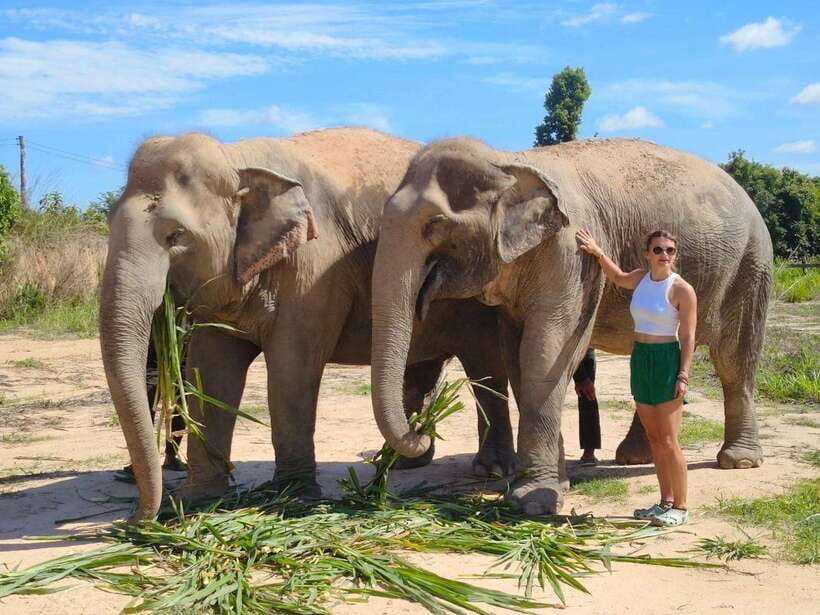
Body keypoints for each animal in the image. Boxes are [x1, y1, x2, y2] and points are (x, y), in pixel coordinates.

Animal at [100, 128, 514, 522]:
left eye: (176, 236)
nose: (136, 519)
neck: (238, 157)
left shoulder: (316, 269)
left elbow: (292, 367)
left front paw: (291, 499)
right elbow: (211, 369)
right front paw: (196, 500)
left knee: (484, 368)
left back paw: (489, 470)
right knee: (420, 373)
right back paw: (403, 461)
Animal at [369, 136, 773, 515]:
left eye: (435, 225)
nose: (422, 435)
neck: (508, 160)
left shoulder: (571, 256)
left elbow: (545, 353)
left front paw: (533, 501)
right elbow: (519, 357)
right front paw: (552, 484)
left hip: (751, 269)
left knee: (734, 361)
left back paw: (737, 461)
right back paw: (634, 457)